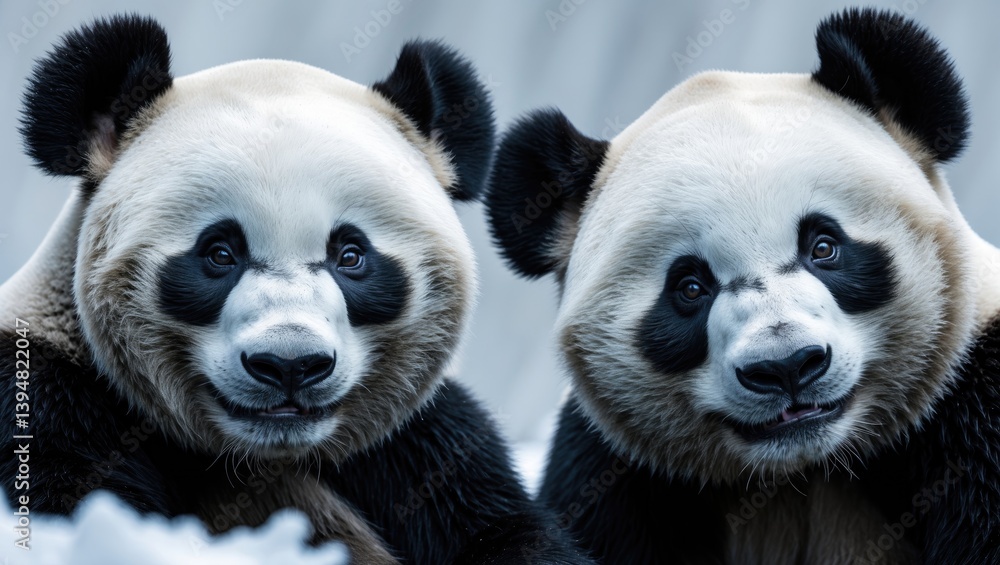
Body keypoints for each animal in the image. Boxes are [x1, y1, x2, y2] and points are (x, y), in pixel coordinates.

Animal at [0, 14, 592, 564]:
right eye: (220, 253)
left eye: (350, 255)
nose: (290, 365)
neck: (258, 455)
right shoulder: (54, 403)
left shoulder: (422, 443)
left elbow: (503, 526)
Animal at [485, 8, 1000, 564]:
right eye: (690, 287)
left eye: (824, 247)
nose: (786, 366)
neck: (803, 466)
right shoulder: (613, 468)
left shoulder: (976, 408)